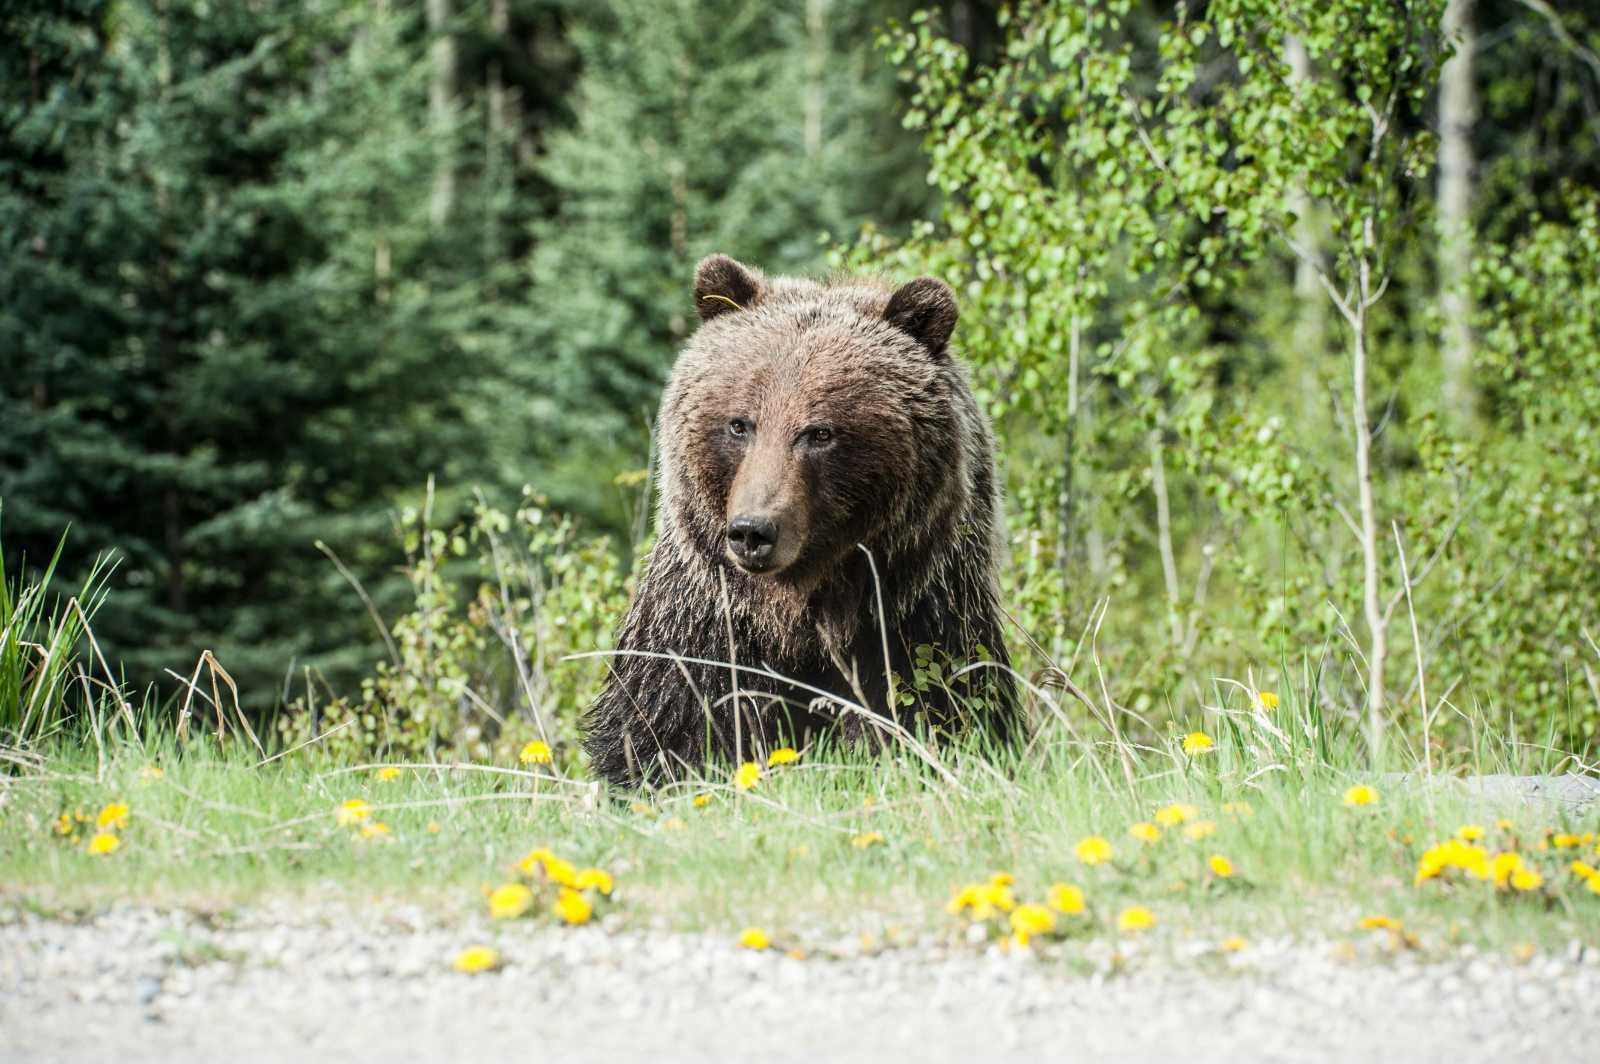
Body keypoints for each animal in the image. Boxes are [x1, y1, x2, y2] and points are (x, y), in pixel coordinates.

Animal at [585, 252, 1011, 784]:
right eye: (739, 424)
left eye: (819, 432)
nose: (753, 531)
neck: (800, 612)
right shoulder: (703, 627)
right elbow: (665, 729)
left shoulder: (917, 619)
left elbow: (940, 709)